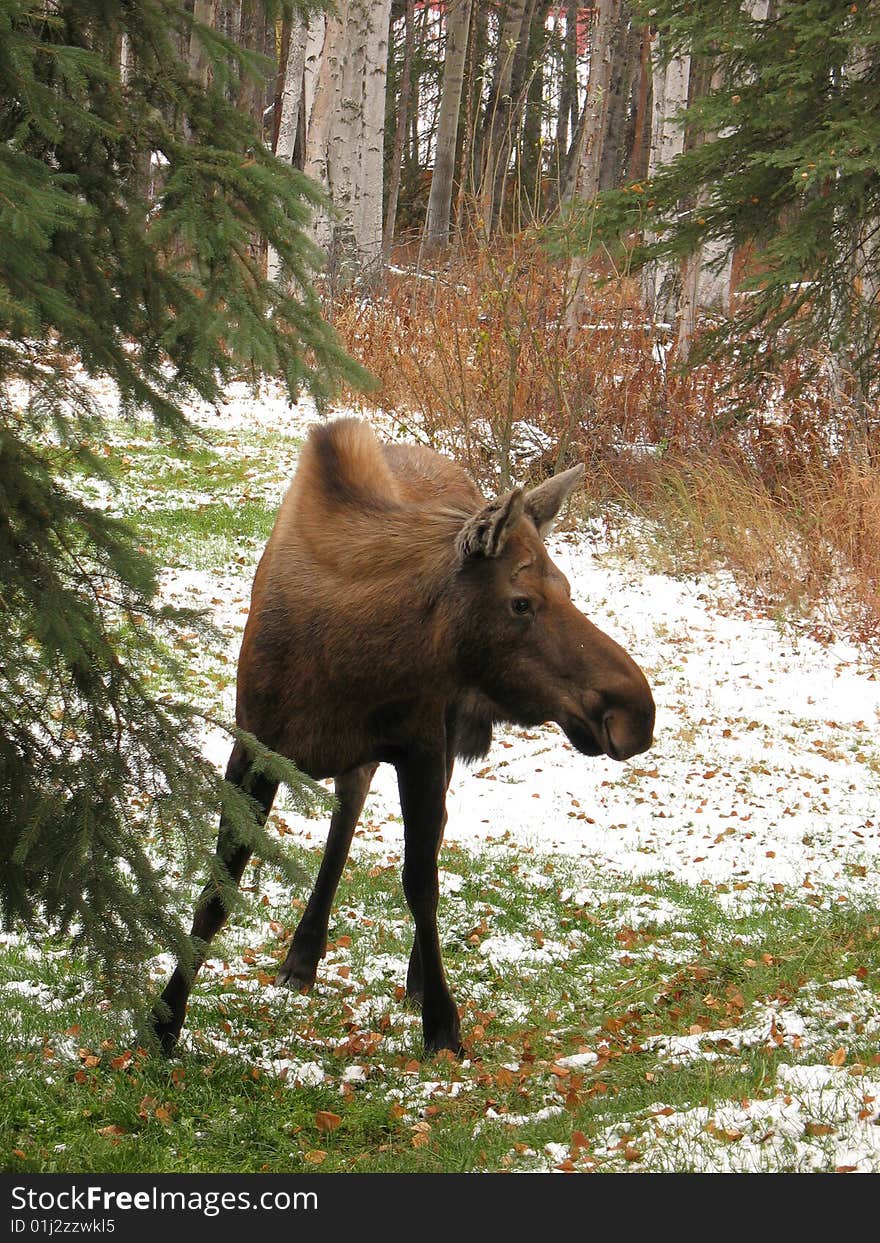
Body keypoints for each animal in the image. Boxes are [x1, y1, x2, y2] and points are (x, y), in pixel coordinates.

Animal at [154, 420, 651, 1059]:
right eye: (522, 601)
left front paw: (440, 1018)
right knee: (347, 815)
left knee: (424, 837)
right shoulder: (254, 748)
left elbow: (421, 881)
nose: (635, 711)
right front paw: (164, 1021)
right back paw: (303, 955)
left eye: (566, 586)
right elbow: (218, 890)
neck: (349, 663)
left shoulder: (422, 746)